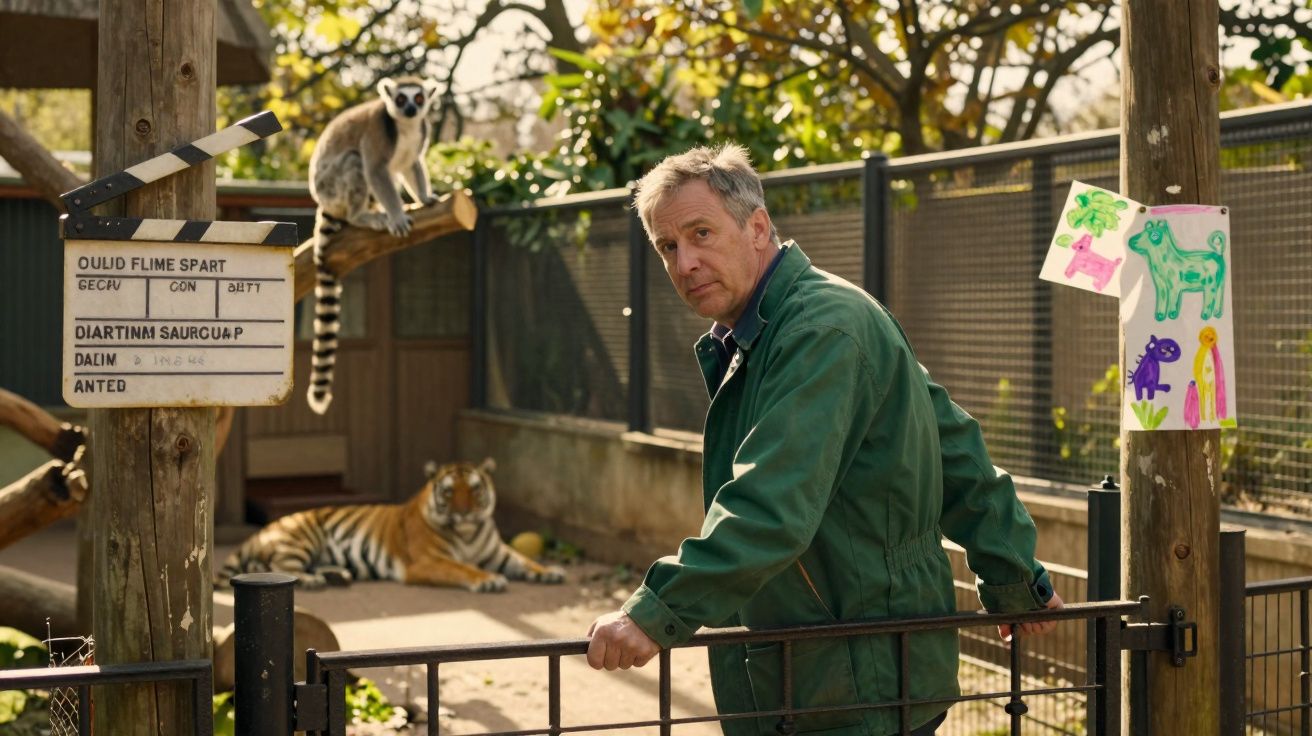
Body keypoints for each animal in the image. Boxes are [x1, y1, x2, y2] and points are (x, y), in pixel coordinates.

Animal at [214, 458, 566, 591]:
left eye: (475, 490)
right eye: (449, 492)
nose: (465, 512)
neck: (469, 532)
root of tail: (260, 532)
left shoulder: (500, 553)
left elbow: (527, 561)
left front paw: (550, 572)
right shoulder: (428, 561)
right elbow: (463, 568)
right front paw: (488, 580)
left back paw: (338, 576)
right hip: (301, 537)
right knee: (280, 567)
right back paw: (312, 580)